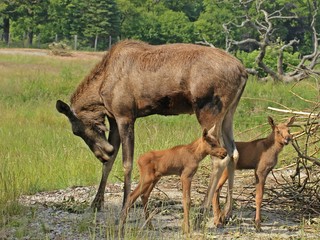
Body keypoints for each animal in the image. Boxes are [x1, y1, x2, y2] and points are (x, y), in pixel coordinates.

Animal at [55, 39, 248, 225]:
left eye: (76, 130)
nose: (102, 153)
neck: (100, 92)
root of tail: (243, 72)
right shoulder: (114, 119)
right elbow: (110, 162)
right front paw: (96, 203)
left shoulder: (125, 116)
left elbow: (127, 164)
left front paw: (124, 207)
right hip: (228, 113)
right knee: (233, 152)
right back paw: (227, 212)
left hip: (208, 110)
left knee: (220, 157)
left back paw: (202, 214)